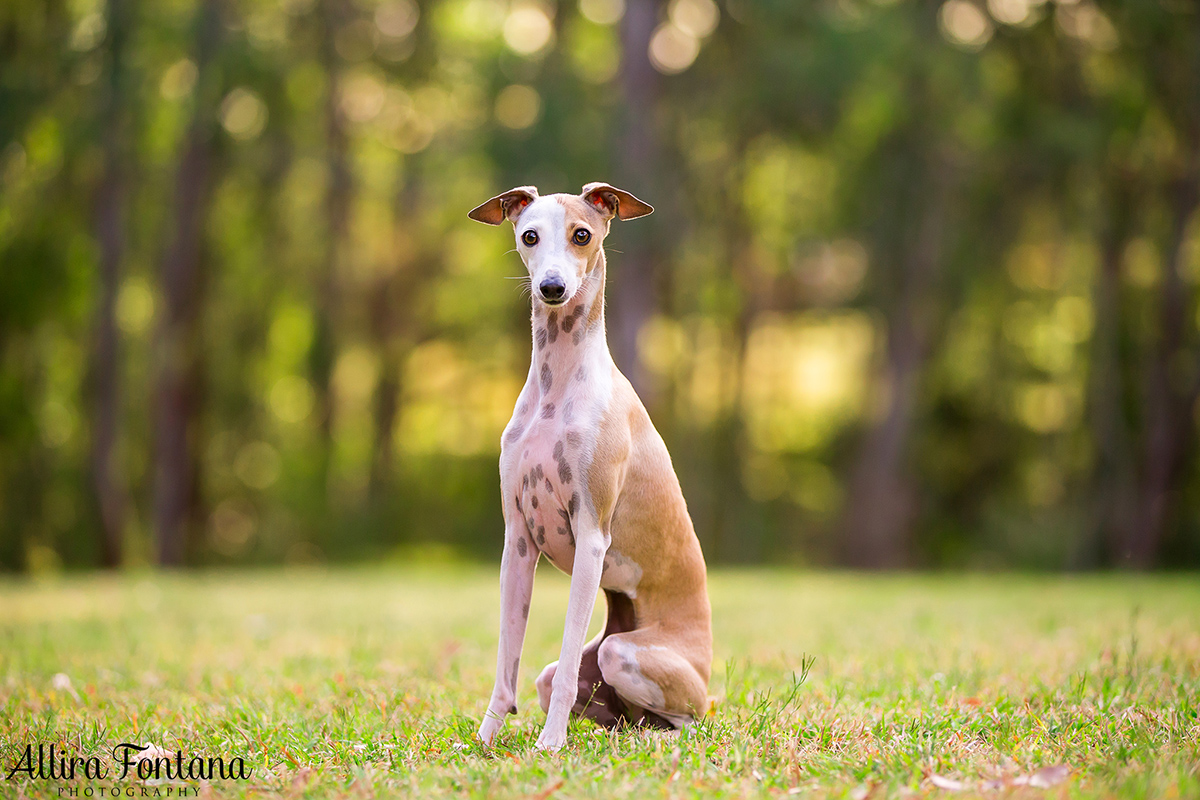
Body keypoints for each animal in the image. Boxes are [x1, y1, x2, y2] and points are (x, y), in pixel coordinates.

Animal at [468, 181, 710, 753]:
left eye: (582, 235)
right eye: (529, 235)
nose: (552, 288)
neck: (556, 388)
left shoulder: (592, 537)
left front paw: (550, 745)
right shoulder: (517, 542)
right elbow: (506, 664)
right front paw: (485, 740)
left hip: (626, 656)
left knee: (688, 723)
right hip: (586, 672)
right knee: (602, 702)